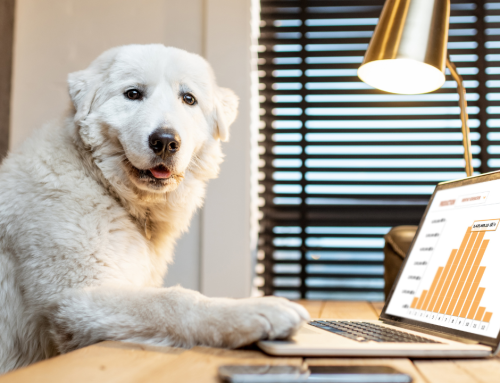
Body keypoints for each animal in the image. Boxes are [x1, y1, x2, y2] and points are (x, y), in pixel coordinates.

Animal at [0, 45, 308, 376]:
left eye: (188, 99)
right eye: (133, 94)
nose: (165, 142)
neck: (103, 183)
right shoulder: (76, 297)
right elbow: (173, 300)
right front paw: (257, 310)